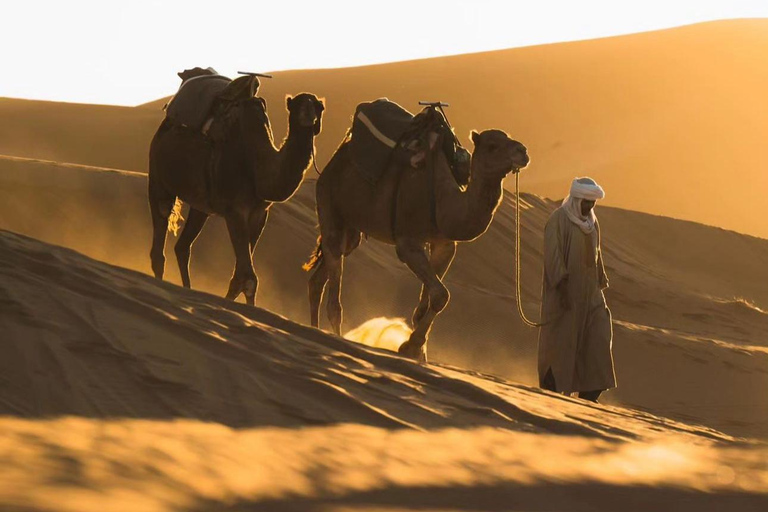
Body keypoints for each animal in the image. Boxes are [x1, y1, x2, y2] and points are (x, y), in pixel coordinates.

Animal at [148, 75, 326, 304]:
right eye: (296, 107)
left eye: (318, 107)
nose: (309, 119)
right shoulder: (235, 211)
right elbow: (248, 278)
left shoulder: (260, 214)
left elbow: (240, 277)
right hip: (158, 176)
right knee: (160, 227)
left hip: (201, 205)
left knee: (183, 246)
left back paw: (187, 289)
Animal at [304, 109, 528, 360]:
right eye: (492, 146)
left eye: (509, 138)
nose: (522, 151)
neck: (442, 200)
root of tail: (334, 161)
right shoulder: (407, 243)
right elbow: (441, 295)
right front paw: (411, 346)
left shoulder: (444, 245)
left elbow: (426, 304)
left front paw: (419, 352)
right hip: (329, 201)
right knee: (333, 284)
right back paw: (335, 337)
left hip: (351, 229)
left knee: (320, 276)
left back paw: (314, 329)